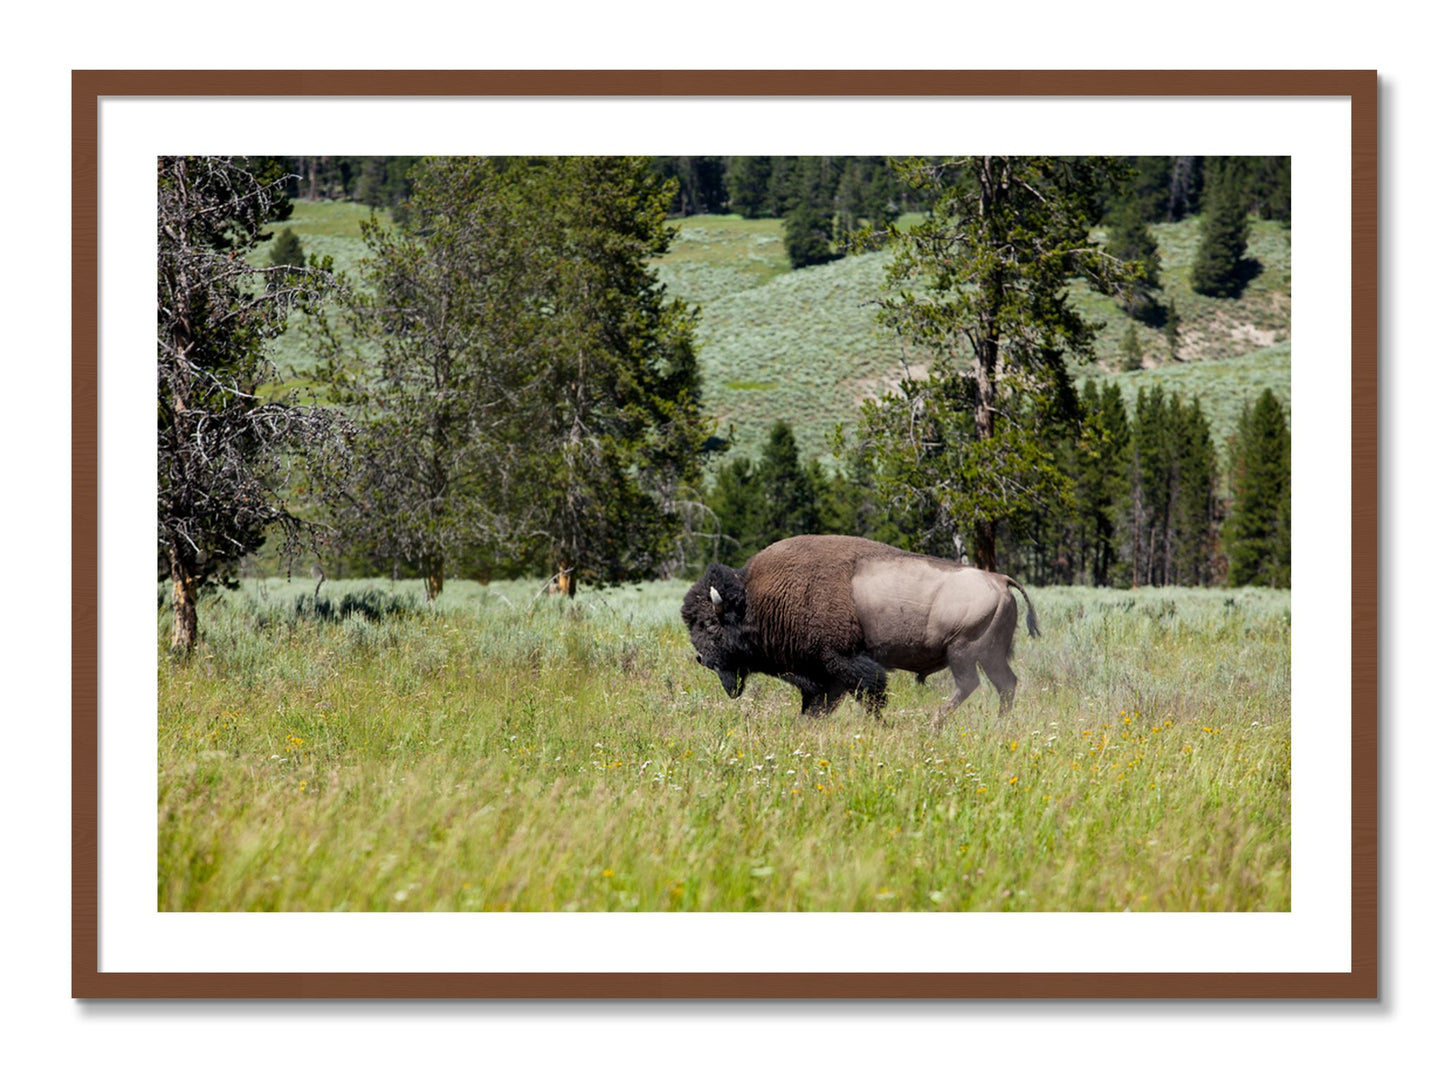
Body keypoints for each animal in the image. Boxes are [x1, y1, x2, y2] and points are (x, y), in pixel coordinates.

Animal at [681, 535, 1039, 724]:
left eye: (709, 624)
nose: (702, 658)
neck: (757, 599)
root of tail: (999, 579)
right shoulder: (823, 675)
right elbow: (819, 704)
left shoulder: (843, 662)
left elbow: (870, 693)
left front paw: (879, 724)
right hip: (990, 655)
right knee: (1006, 684)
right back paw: (998, 723)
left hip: (963, 652)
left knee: (970, 685)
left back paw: (934, 722)